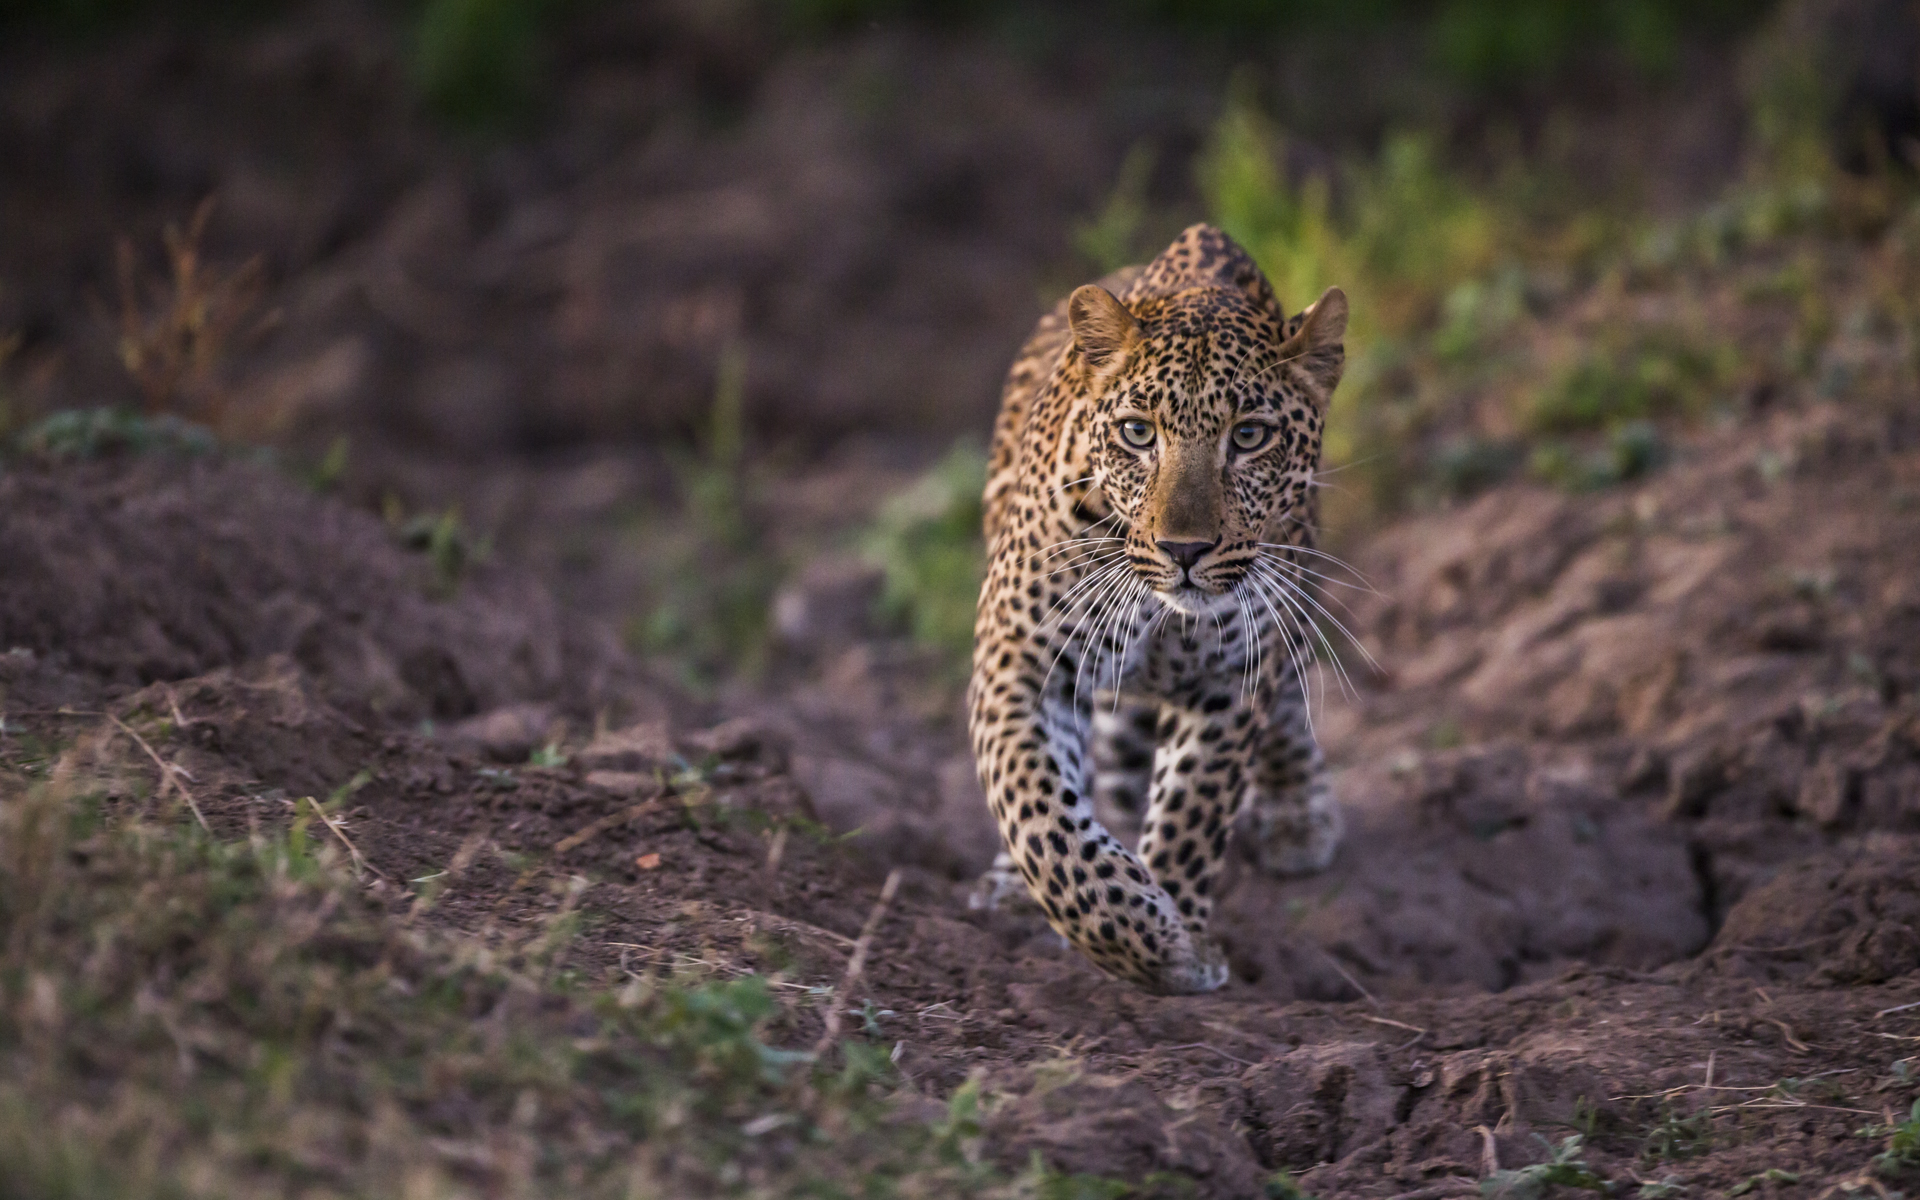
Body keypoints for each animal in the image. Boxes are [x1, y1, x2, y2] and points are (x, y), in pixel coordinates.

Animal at [967, 222, 1344, 990]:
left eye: (1249, 436)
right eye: (1139, 433)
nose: (1185, 549)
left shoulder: (1230, 681)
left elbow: (1193, 808)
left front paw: (1176, 939)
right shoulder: (1021, 662)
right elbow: (1038, 811)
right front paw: (1141, 937)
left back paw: (1298, 809)